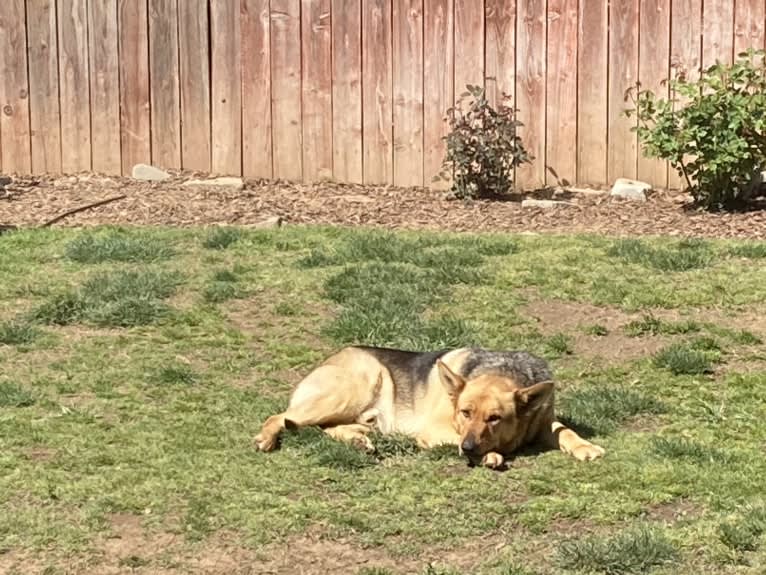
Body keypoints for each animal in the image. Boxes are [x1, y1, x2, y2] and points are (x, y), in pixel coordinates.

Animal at [256, 346, 608, 468]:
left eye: (495, 418)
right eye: (465, 412)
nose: (469, 448)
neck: (501, 371)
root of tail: (333, 356)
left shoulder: (543, 420)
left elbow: (565, 431)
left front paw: (585, 446)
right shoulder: (435, 430)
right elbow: (466, 443)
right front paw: (490, 455)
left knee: (323, 426)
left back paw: (357, 439)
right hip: (359, 383)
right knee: (282, 416)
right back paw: (266, 437)